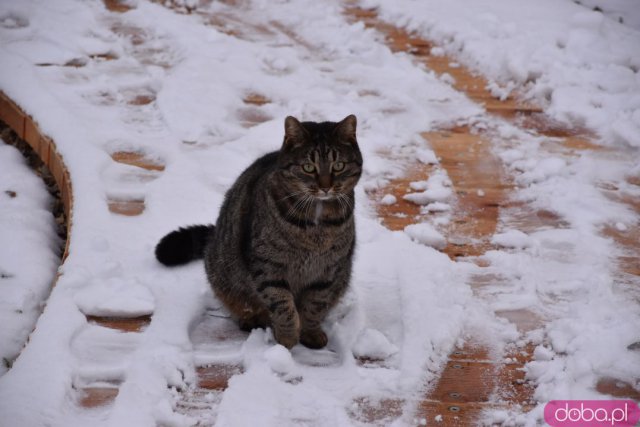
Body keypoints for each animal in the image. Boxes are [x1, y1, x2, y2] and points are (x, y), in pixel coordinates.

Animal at [154, 115, 360, 350]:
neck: (317, 229)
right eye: (308, 167)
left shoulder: (328, 271)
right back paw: (253, 319)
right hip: (224, 275)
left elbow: (314, 306)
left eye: (339, 166)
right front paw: (287, 338)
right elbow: (283, 306)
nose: (326, 187)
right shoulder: (268, 267)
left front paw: (310, 332)